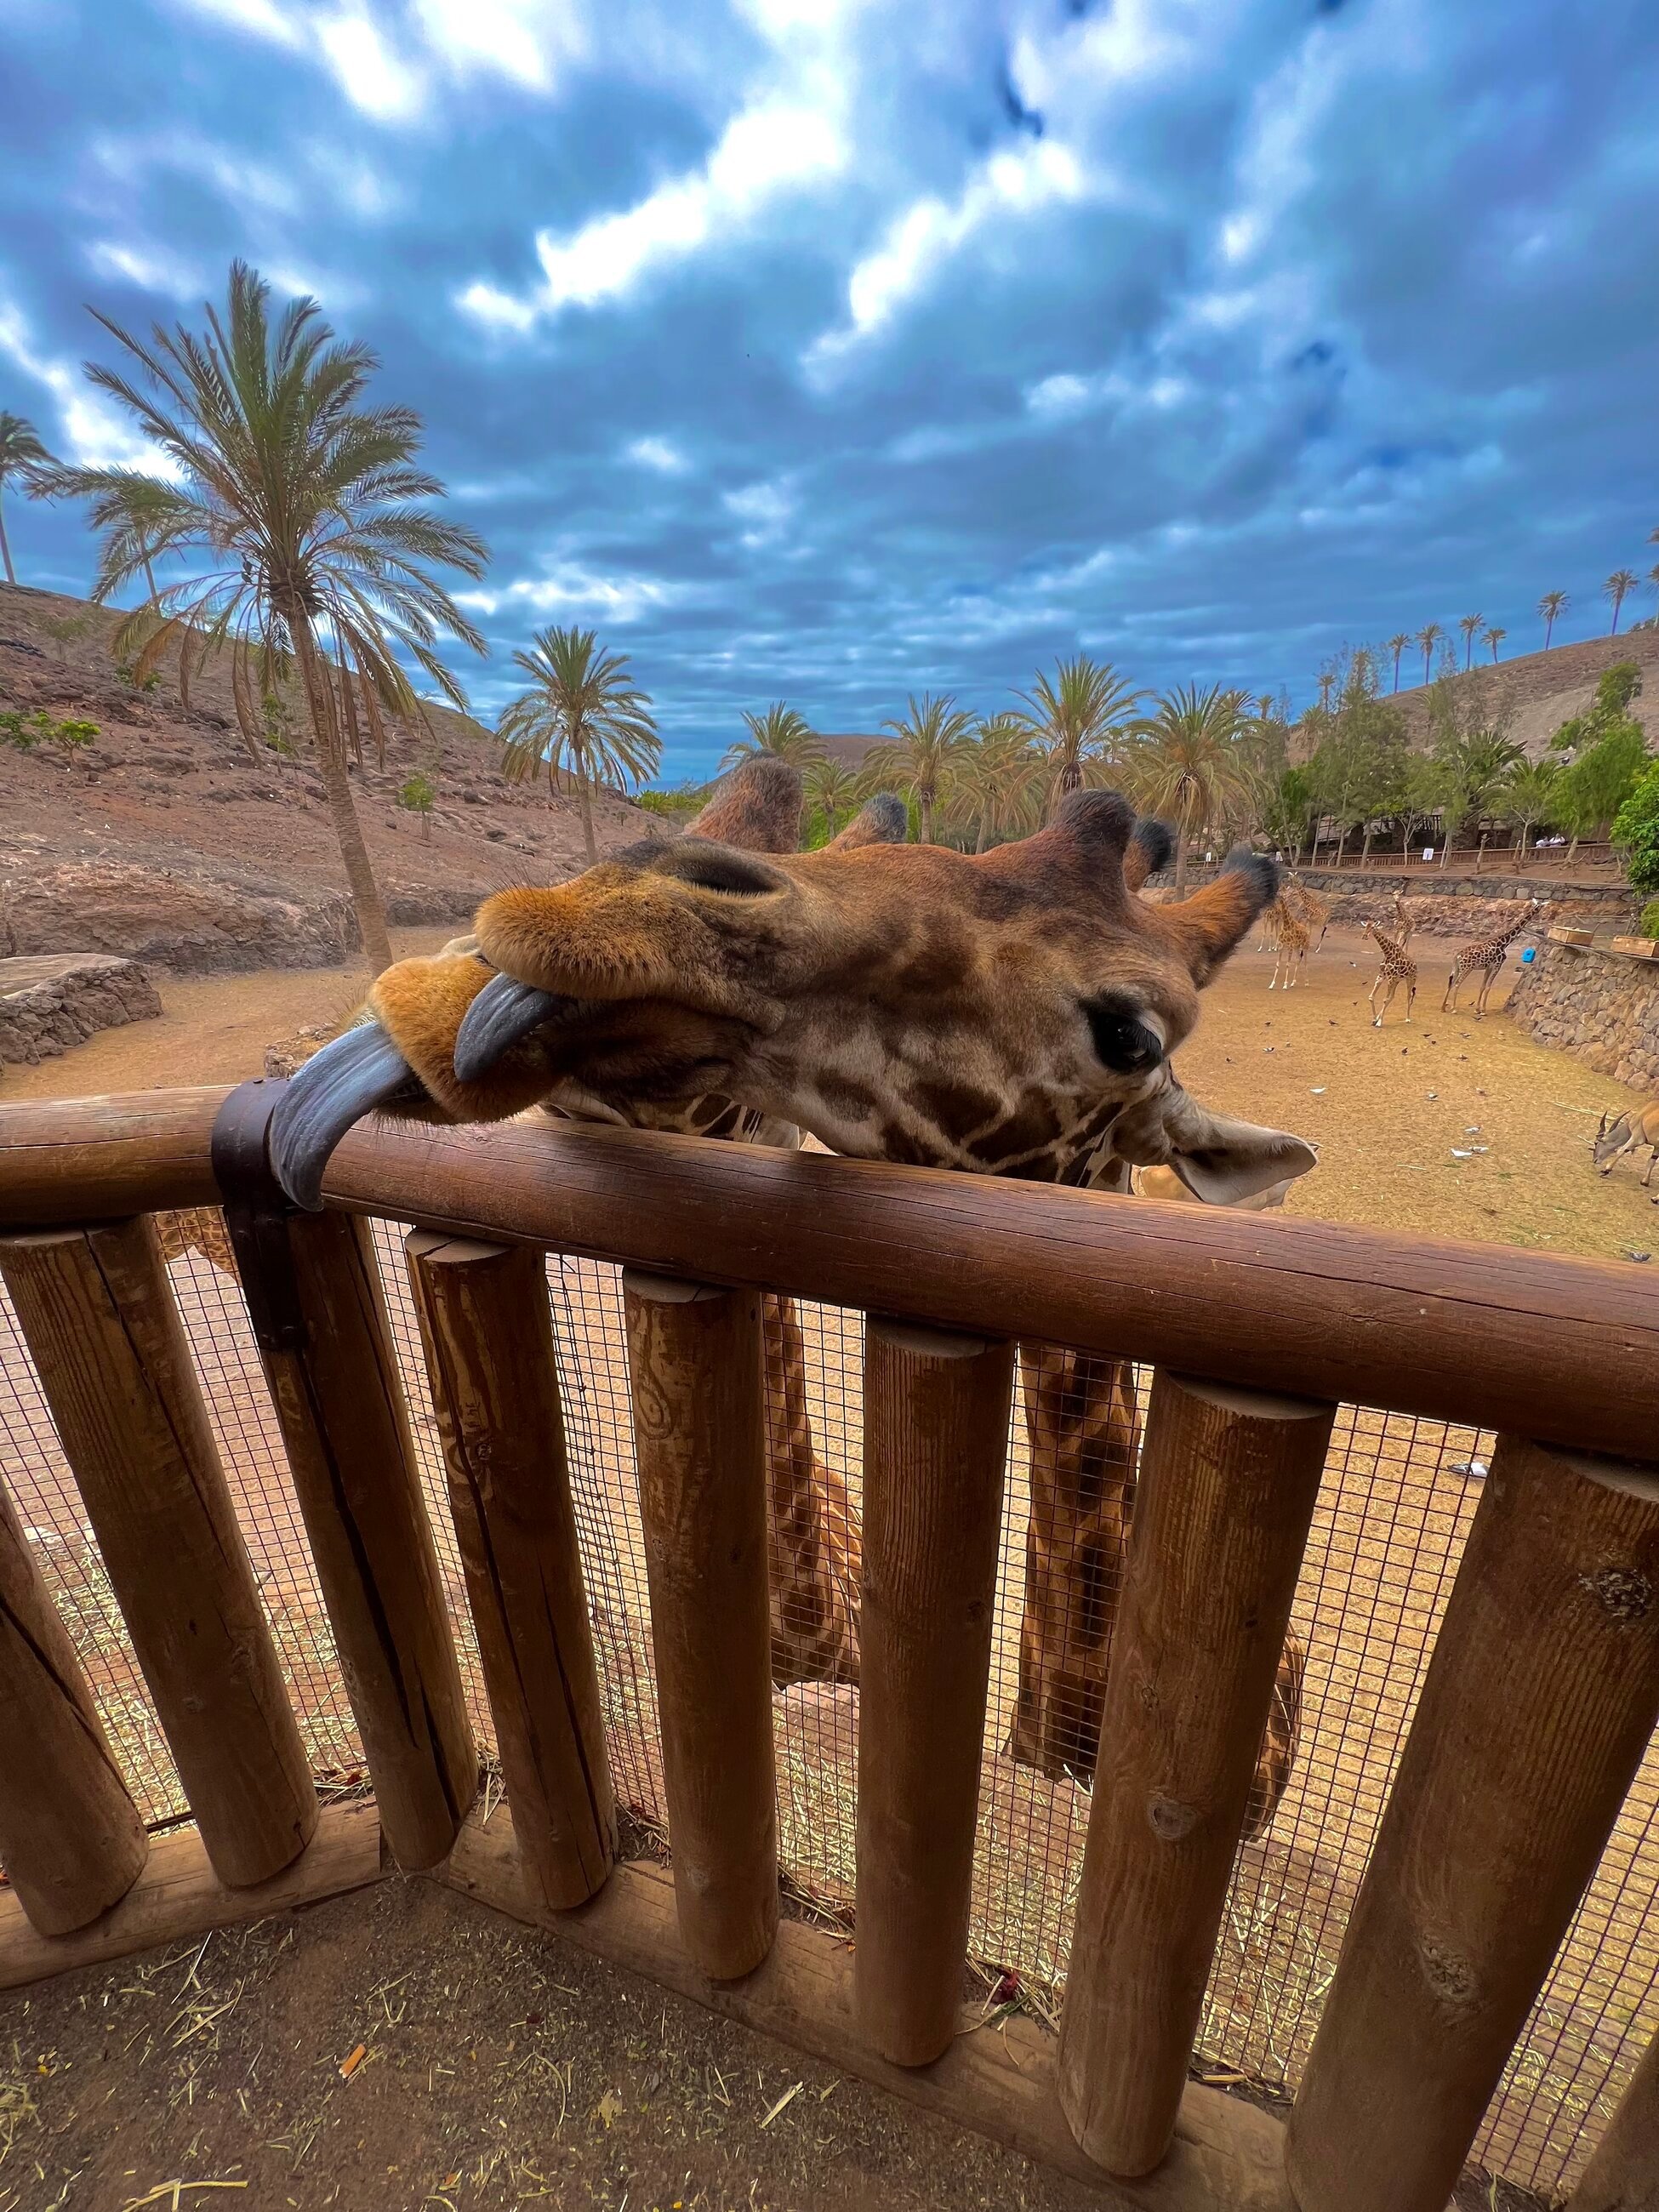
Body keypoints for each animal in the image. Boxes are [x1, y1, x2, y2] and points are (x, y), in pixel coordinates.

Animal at [1451, 893, 1557, 1012]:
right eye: (1540, 906)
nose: (1541, 911)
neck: (1504, 942)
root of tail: (1458, 956)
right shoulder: (1498, 964)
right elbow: (1488, 987)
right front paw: (1483, 1010)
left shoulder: (1489, 966)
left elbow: (1483, 986)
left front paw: (1477, 1009)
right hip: (1466, 968)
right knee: (1456, 984)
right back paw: (1453, 1008)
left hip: (1459, 968)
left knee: (1452, 983)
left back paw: (1445, 1007)